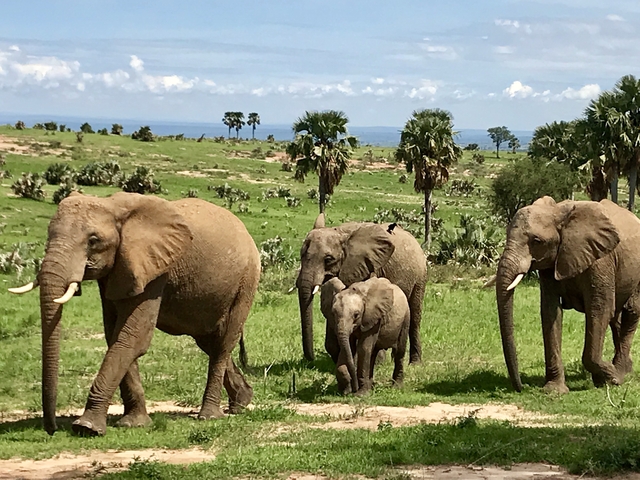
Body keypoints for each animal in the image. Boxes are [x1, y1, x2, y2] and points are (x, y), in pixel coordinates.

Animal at [9, 192, 261, 436]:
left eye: (93, 241)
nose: (51, 430)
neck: (112, 206)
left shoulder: (155, 268)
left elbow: (133, 337)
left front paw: (86, 427)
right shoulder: (117, 270)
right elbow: (115, 334)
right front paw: (134, 423)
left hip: (246, 282)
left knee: (222, 344)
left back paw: (209, 416)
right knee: (208, 341)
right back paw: (241, 402)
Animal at [297, 213, 427, 364]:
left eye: (328, 259)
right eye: (301, 254)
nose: (310, 359)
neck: (340, 232)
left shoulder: (370, 266)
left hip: (420, 276)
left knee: (415, 316)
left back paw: (413, 363)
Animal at [496, 196, 640, 393]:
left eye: (537, 241)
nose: (521, 387)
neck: (558, 212)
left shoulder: (600, 261)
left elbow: (599, 310)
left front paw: (612, 378)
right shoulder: (550, 265)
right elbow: (550, 312)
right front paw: (554, 391)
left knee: (631, 312)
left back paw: (619, 373)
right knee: (616, 318)